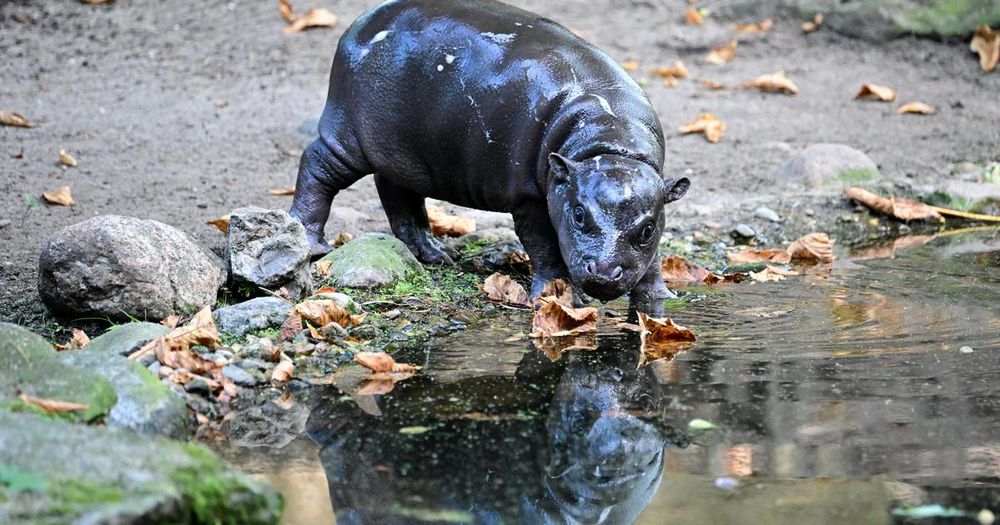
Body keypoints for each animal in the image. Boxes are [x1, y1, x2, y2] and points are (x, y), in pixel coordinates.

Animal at [292, 0, 688, 312]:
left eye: (647, 229)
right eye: (578, 214)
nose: (604, 274)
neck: (609, 140)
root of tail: (362, 20)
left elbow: (652, 261)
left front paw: (661, 299)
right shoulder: (529, 198)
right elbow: (544, 248)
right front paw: (558, 299)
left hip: (401, 152)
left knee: (397, 192)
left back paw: (435, 253)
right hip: (347, 137)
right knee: (317, 166)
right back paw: (312, 244)